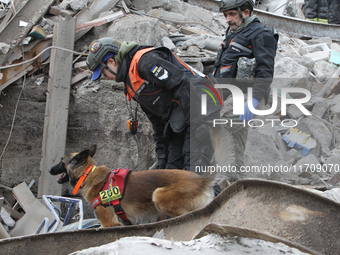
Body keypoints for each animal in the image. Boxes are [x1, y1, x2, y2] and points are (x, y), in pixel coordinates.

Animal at [49, 144, 223, 228]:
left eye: (61, 161)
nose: (50, 169)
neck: (88, 173)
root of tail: (202, 180)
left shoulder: (109, 223)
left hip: (158, 195)